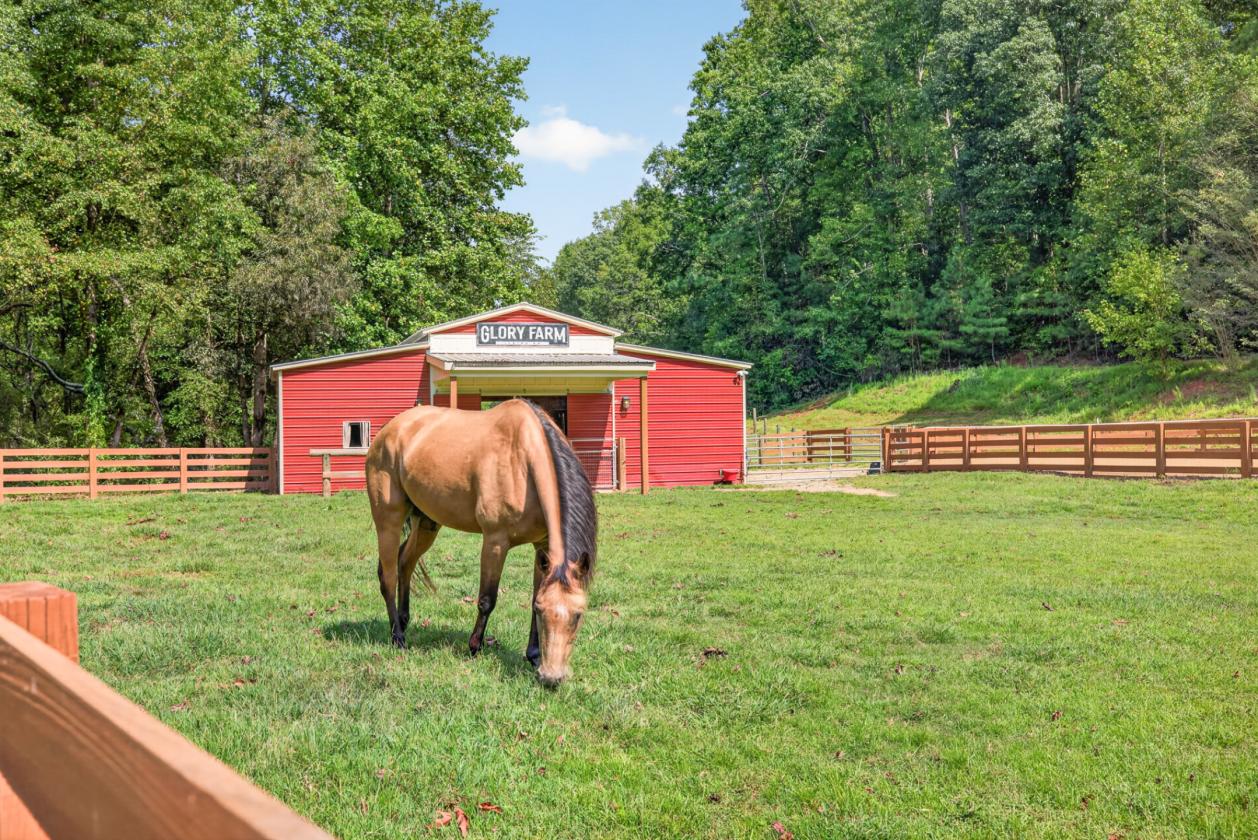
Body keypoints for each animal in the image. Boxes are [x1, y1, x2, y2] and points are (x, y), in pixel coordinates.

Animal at [364, 399, 597, 687]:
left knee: (405, 562)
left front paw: (532, 655)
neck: (524, 463)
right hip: (388, 520)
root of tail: (388, 430)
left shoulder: (542, 546)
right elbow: (487, 599)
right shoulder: (495, 541)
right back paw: (398, 638)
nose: (551, 678)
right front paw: (474, 647)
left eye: (578, 614)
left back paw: (404, 622)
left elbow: (534, 594)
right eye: (545, 613)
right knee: (388, 576)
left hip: (427, 522)